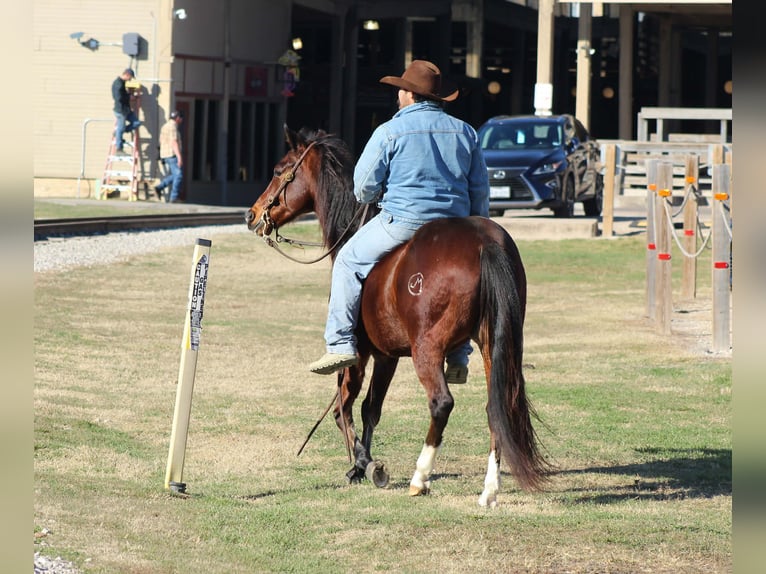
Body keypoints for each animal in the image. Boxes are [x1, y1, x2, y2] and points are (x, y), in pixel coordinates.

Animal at [245, 125, 549, 506]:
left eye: (278, 170)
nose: (252, 215)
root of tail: (484, 242)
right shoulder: (387, 356)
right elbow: (370, 409)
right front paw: (361, 465)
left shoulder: (359, 354)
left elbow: (344, 409)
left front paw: (366, 465)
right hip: (493, 345)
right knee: (496, 406)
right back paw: (489, 490)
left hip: (427, 350)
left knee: (441, 403)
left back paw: (420, 478)